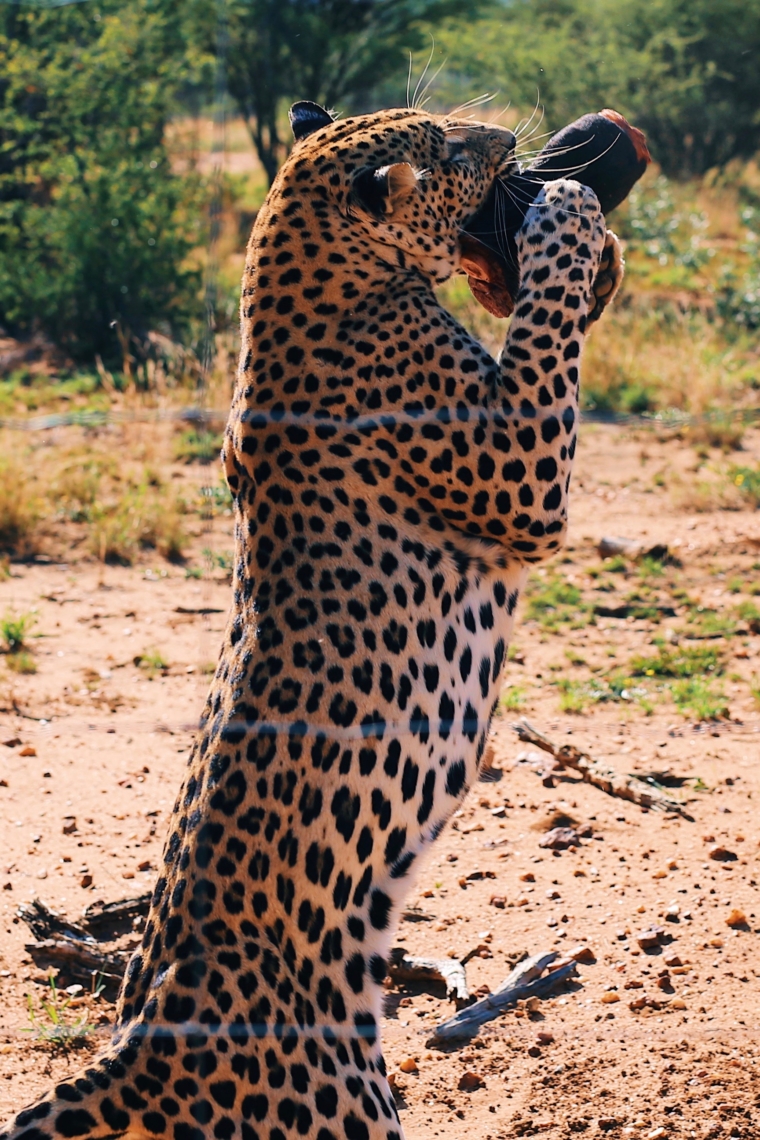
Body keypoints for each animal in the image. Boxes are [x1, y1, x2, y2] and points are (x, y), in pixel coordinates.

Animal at [2, 98, 624, 1140]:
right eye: (448, 149)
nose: (503, 140)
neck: (305, 272)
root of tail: (141, 1046)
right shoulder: (521, 479)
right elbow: (544, 330)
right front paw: (566, 216)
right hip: (343, 1105)